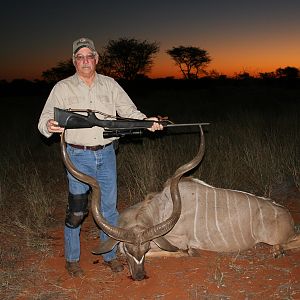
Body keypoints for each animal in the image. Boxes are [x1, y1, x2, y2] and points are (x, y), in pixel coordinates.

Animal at [59, 127, 298, 282]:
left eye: (145, 249)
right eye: (130, 250)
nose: (139, 276)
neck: (159, 208)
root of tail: (287, 216)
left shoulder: (176, 241)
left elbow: (180, 251)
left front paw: (190, 253)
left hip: (275, 237)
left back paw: (278, 251)